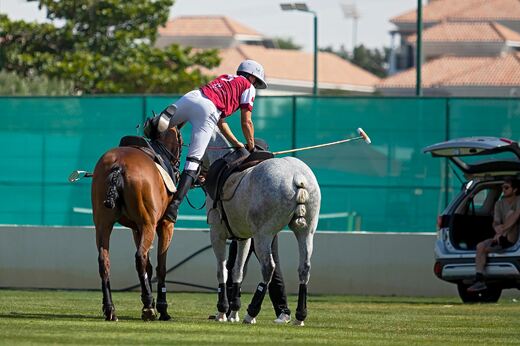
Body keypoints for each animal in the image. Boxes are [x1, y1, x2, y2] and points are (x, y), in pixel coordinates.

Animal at [91, 124, 183, 322]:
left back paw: (110, 309)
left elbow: (149, 265)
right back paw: (148, 307)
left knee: (104, 260)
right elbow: (160, 266)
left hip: (103, 224)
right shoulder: (165, 225)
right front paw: (161, 307)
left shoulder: (136, 229)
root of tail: (118, 166)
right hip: (148, 224)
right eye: (180, 138)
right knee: (139, 258)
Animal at [204, 130, 320, 328]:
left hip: (263, 235)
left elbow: (222, 270)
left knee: (268, 267)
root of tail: (297, 177)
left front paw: (223, 310)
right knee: (304, 267)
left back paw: (251, 313)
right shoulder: (243, 236)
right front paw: (233, 311)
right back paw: (299, 316)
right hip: (307, 231)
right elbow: (237, 270)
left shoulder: (217, 232)